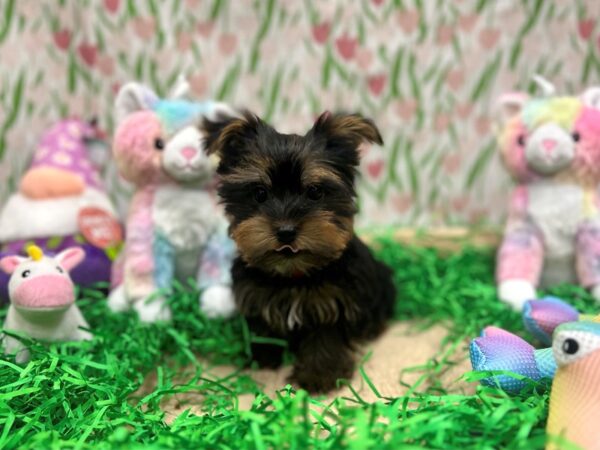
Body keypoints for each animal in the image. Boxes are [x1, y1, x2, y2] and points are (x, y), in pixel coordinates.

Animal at [204, 110, 396, 392]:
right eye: (259, 193)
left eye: (314, 191)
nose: (286, 231)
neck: (293, 274)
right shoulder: (254, 293)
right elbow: (262, 327)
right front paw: (263, 356)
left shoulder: (334, 301)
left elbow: (325, 336)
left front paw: (319, 374)